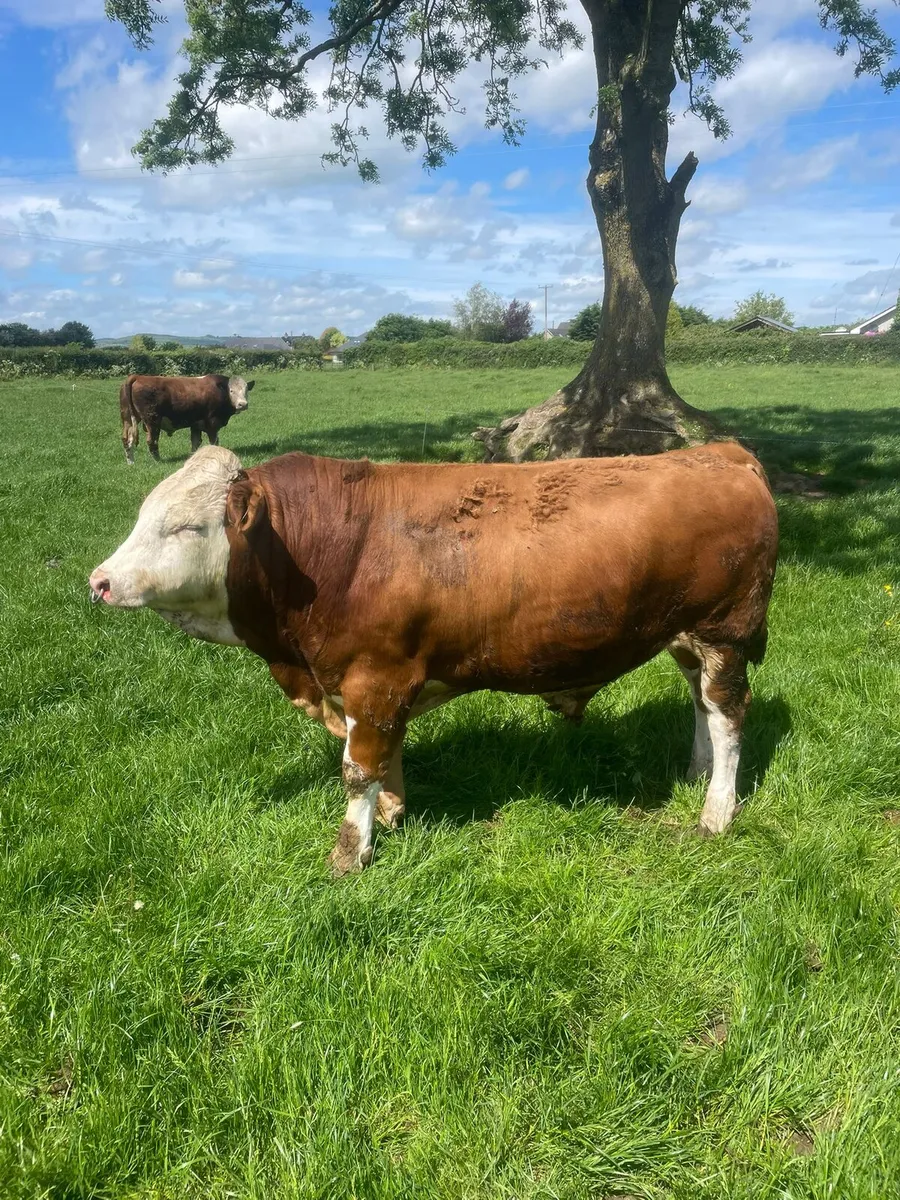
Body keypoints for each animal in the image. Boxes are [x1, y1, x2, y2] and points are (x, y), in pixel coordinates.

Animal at [89, 441, 778, 875]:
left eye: (185, 527)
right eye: (144, 515)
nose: (100, 581)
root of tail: (721, 452)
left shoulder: (376, 676)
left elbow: (358, 768)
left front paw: (351, 852)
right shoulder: (375, 687)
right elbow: (383, 754)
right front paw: (393, 812)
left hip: (724, 632)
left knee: (728, 714)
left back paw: (716, 810)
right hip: (683, 637)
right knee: (700, 704)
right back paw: (695, 772)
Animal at [119, 374, 254, 464]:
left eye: (246, 390)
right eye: (231, 390)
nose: (243, 404)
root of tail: (138, 376)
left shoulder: (196, 424)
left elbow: (195, 442)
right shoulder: (212, 423)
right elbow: (214, 441)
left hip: (127, 418)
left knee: (127, 439)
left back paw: (131, 462)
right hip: (152, 420)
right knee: (152, 441)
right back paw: (158, 460)